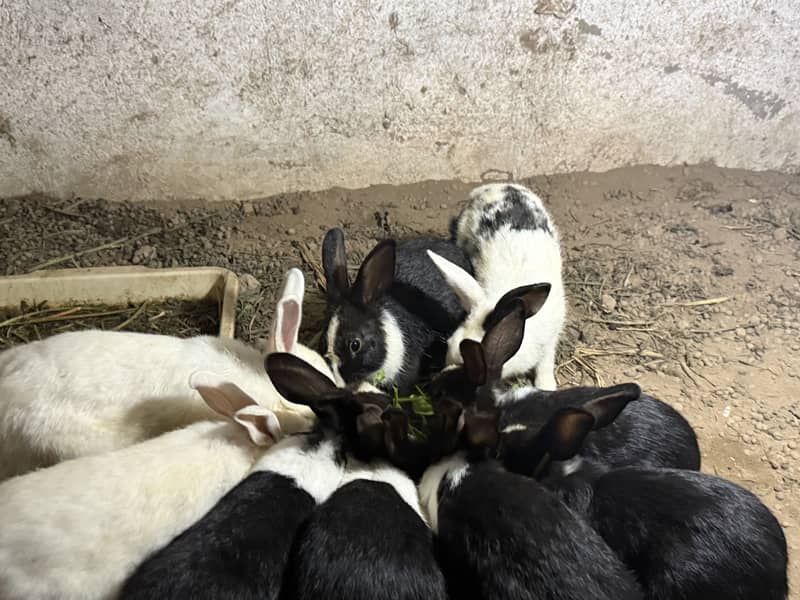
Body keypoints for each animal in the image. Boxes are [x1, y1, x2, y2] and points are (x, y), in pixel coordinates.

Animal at [427, 182, 565, 389]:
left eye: (468, 365)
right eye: (449, 344)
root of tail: (495, 186)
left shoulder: (550, 340)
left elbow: (545, 364)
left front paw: (546, 386)